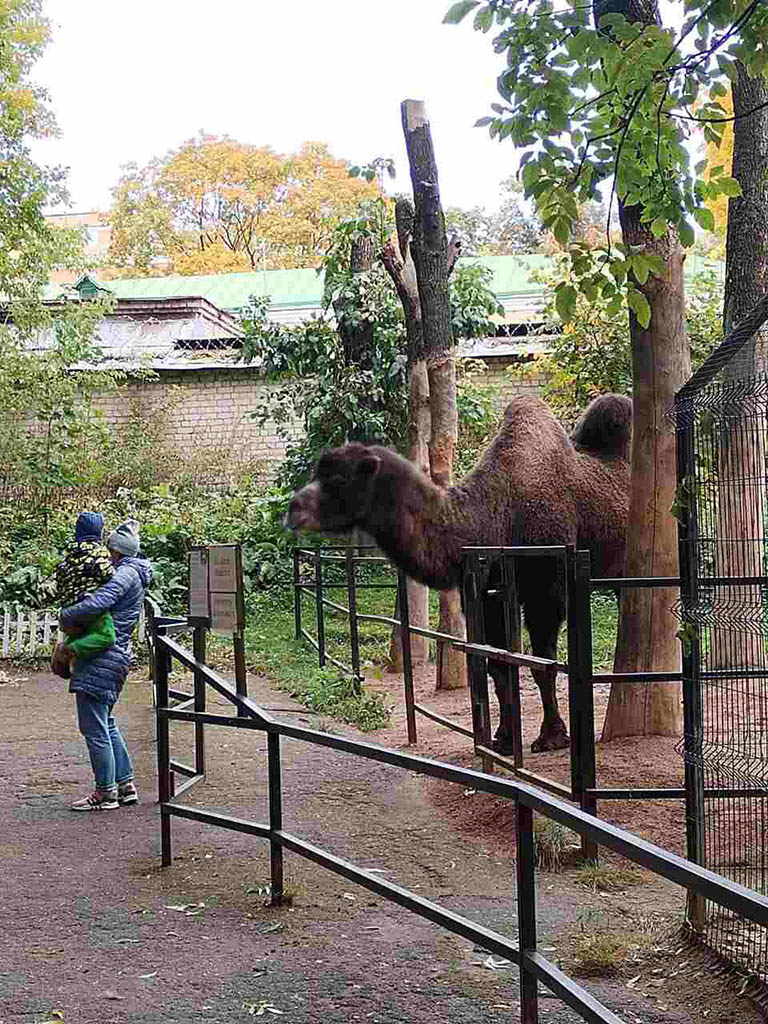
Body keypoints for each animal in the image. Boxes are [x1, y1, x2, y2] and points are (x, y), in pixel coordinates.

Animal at [286, 391, 626, 753]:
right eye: (316, 472)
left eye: (338, 479)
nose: (293, 509)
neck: (497, 516)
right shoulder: (488, 593)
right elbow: (499, 665)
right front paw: (503, 740)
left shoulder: (546, 589)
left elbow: (542, 665)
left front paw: (552, 737)